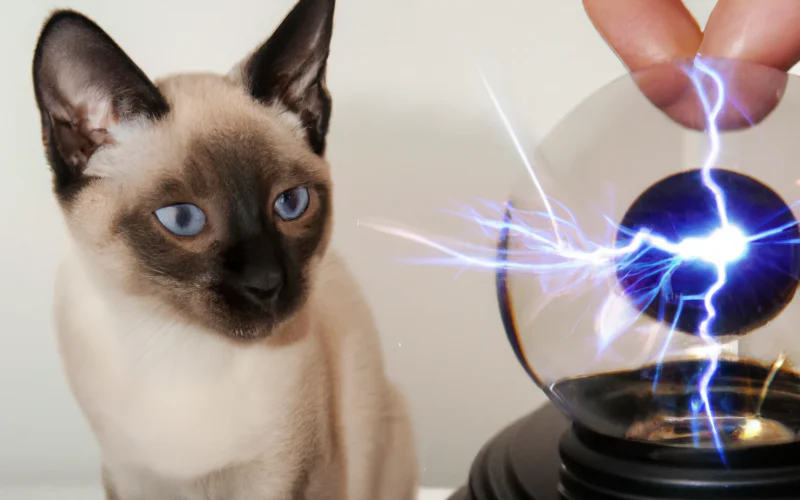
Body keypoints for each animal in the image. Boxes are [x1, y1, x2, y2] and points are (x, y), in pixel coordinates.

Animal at [31, 0, 418, 498]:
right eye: (183, 219)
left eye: (291, 204)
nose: (267, 283)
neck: (182, 348)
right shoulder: (127, 478)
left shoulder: (290, 476)